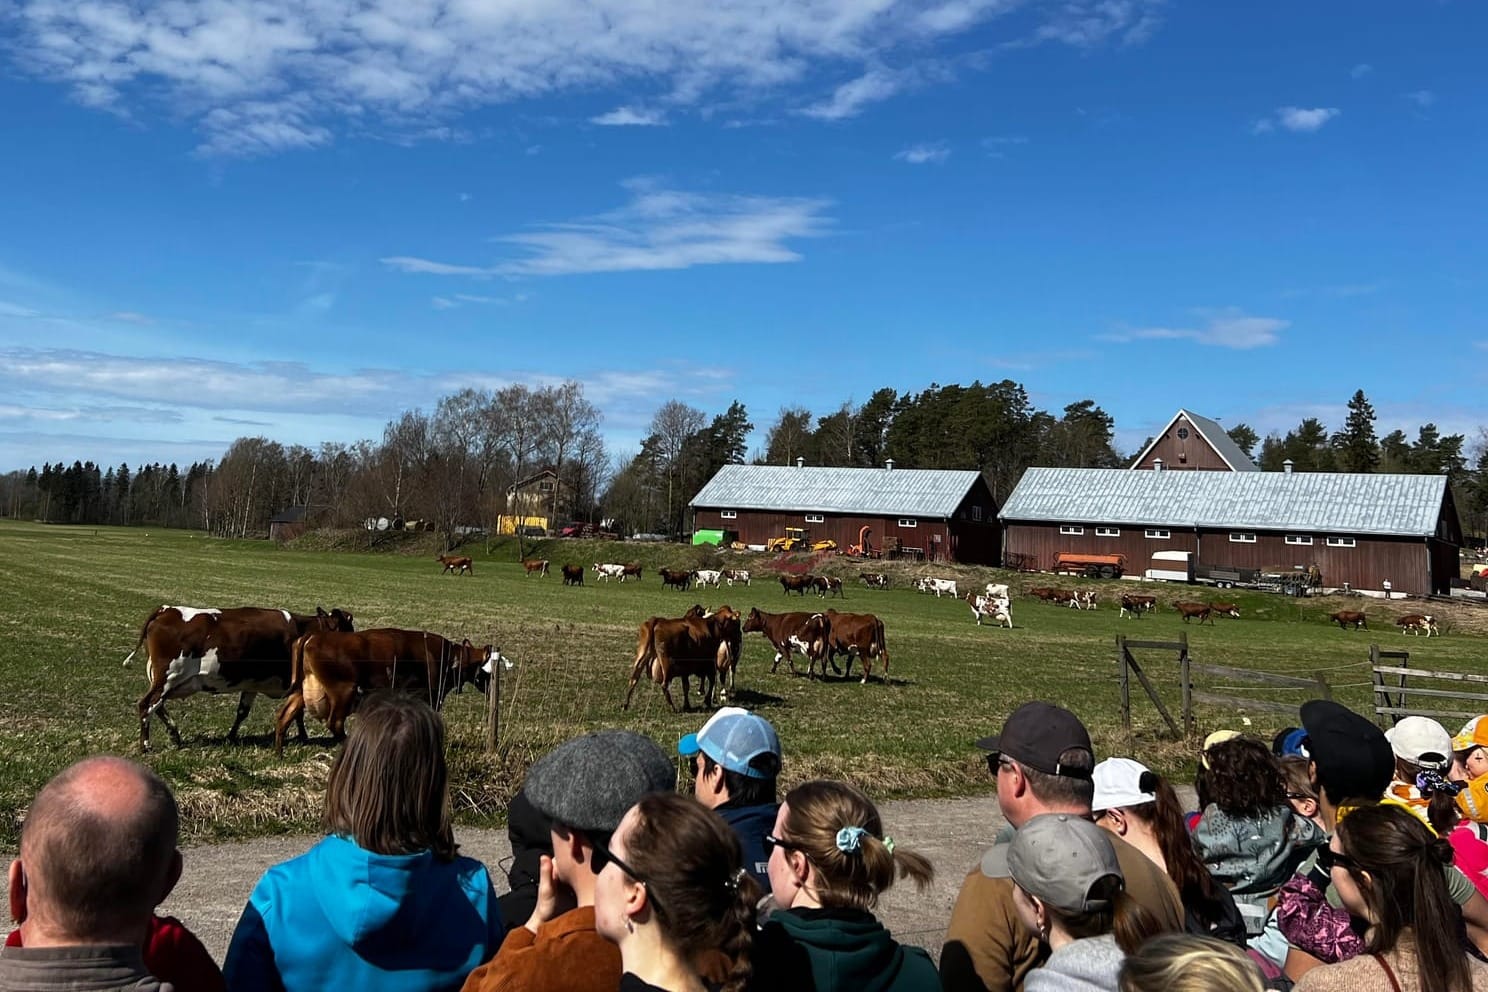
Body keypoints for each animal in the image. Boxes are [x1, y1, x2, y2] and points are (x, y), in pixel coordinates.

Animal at [272, 627, 494, 752]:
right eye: (486, 670)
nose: (491, 685)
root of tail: (313, 636)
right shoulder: (429, 696)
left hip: (301, 691)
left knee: (285, 715)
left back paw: (279, 752)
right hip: (344, 691)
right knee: (335, 723)